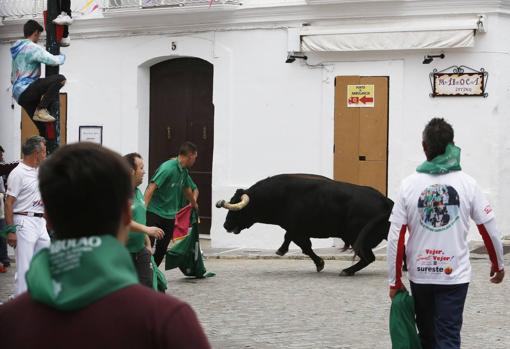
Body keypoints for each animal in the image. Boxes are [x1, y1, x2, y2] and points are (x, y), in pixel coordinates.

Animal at [215, 173, 394, 274]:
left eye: (238, 209)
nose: (226, 225)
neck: (280, 195)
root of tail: (385, 201)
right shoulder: (298, 230)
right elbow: (301, 244)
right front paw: (318, 263)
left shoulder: (297, 229)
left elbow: (299, 243)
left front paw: (283, 251)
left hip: (357, 238)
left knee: (368, 257)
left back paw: (347, 271)